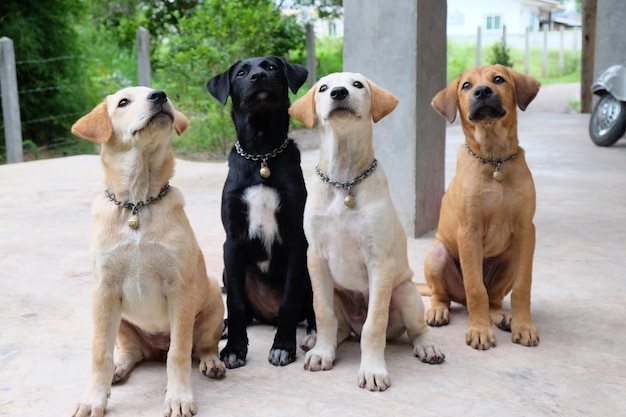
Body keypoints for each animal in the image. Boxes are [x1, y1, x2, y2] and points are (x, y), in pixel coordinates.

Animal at [70, 87, 224, 416]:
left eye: (159, 93)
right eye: (123, 102)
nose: (160, 96)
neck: (137, 204)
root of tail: (156, 347)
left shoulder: (180, 290)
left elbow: (179, 353)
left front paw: (178, 397)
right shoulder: (104, 291)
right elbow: (99, 354)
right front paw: (93, 399)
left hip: (214, 307)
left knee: (202, 346)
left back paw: (212, 362)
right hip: (121, 324)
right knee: (129, 352)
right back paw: (118, 369)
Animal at [206, 55, 314, 368]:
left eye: (272, 68)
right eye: (242, 73)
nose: (258, 77)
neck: (262, 154)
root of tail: (267, 314)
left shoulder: (296, 239)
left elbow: (289, 300)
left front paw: (283, 346)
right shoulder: (232, 241)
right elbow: (236, 303)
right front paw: (234, 349)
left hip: (309, 272)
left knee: (311, 310)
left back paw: (311, 336)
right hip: (228, 273)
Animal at [288, 72, 444, 390]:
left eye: (357, 84)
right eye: (323, 88)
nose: (338, 92)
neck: (344, 181)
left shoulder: (379, 262)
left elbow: (375, 324)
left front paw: (372, 369)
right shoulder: (316, 258)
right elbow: (323, 313)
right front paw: (322, 353)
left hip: (405, 293)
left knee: (413, 329)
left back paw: (427, 346)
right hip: (335, 292)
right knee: (339, 326)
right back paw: (318, 342)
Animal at [424, 65, 540, 350]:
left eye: (498, 79)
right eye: (466, 85)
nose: (483, 92)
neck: (494, 159)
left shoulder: (526, 231)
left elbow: (523, 286)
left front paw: (524, 326)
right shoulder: (469, 231)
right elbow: (476, 288)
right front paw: (479, 331)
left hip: (509, 257)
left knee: (494, 297)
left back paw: (500, 316)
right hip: (438, 255)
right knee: (443, 294)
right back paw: (438, 311)